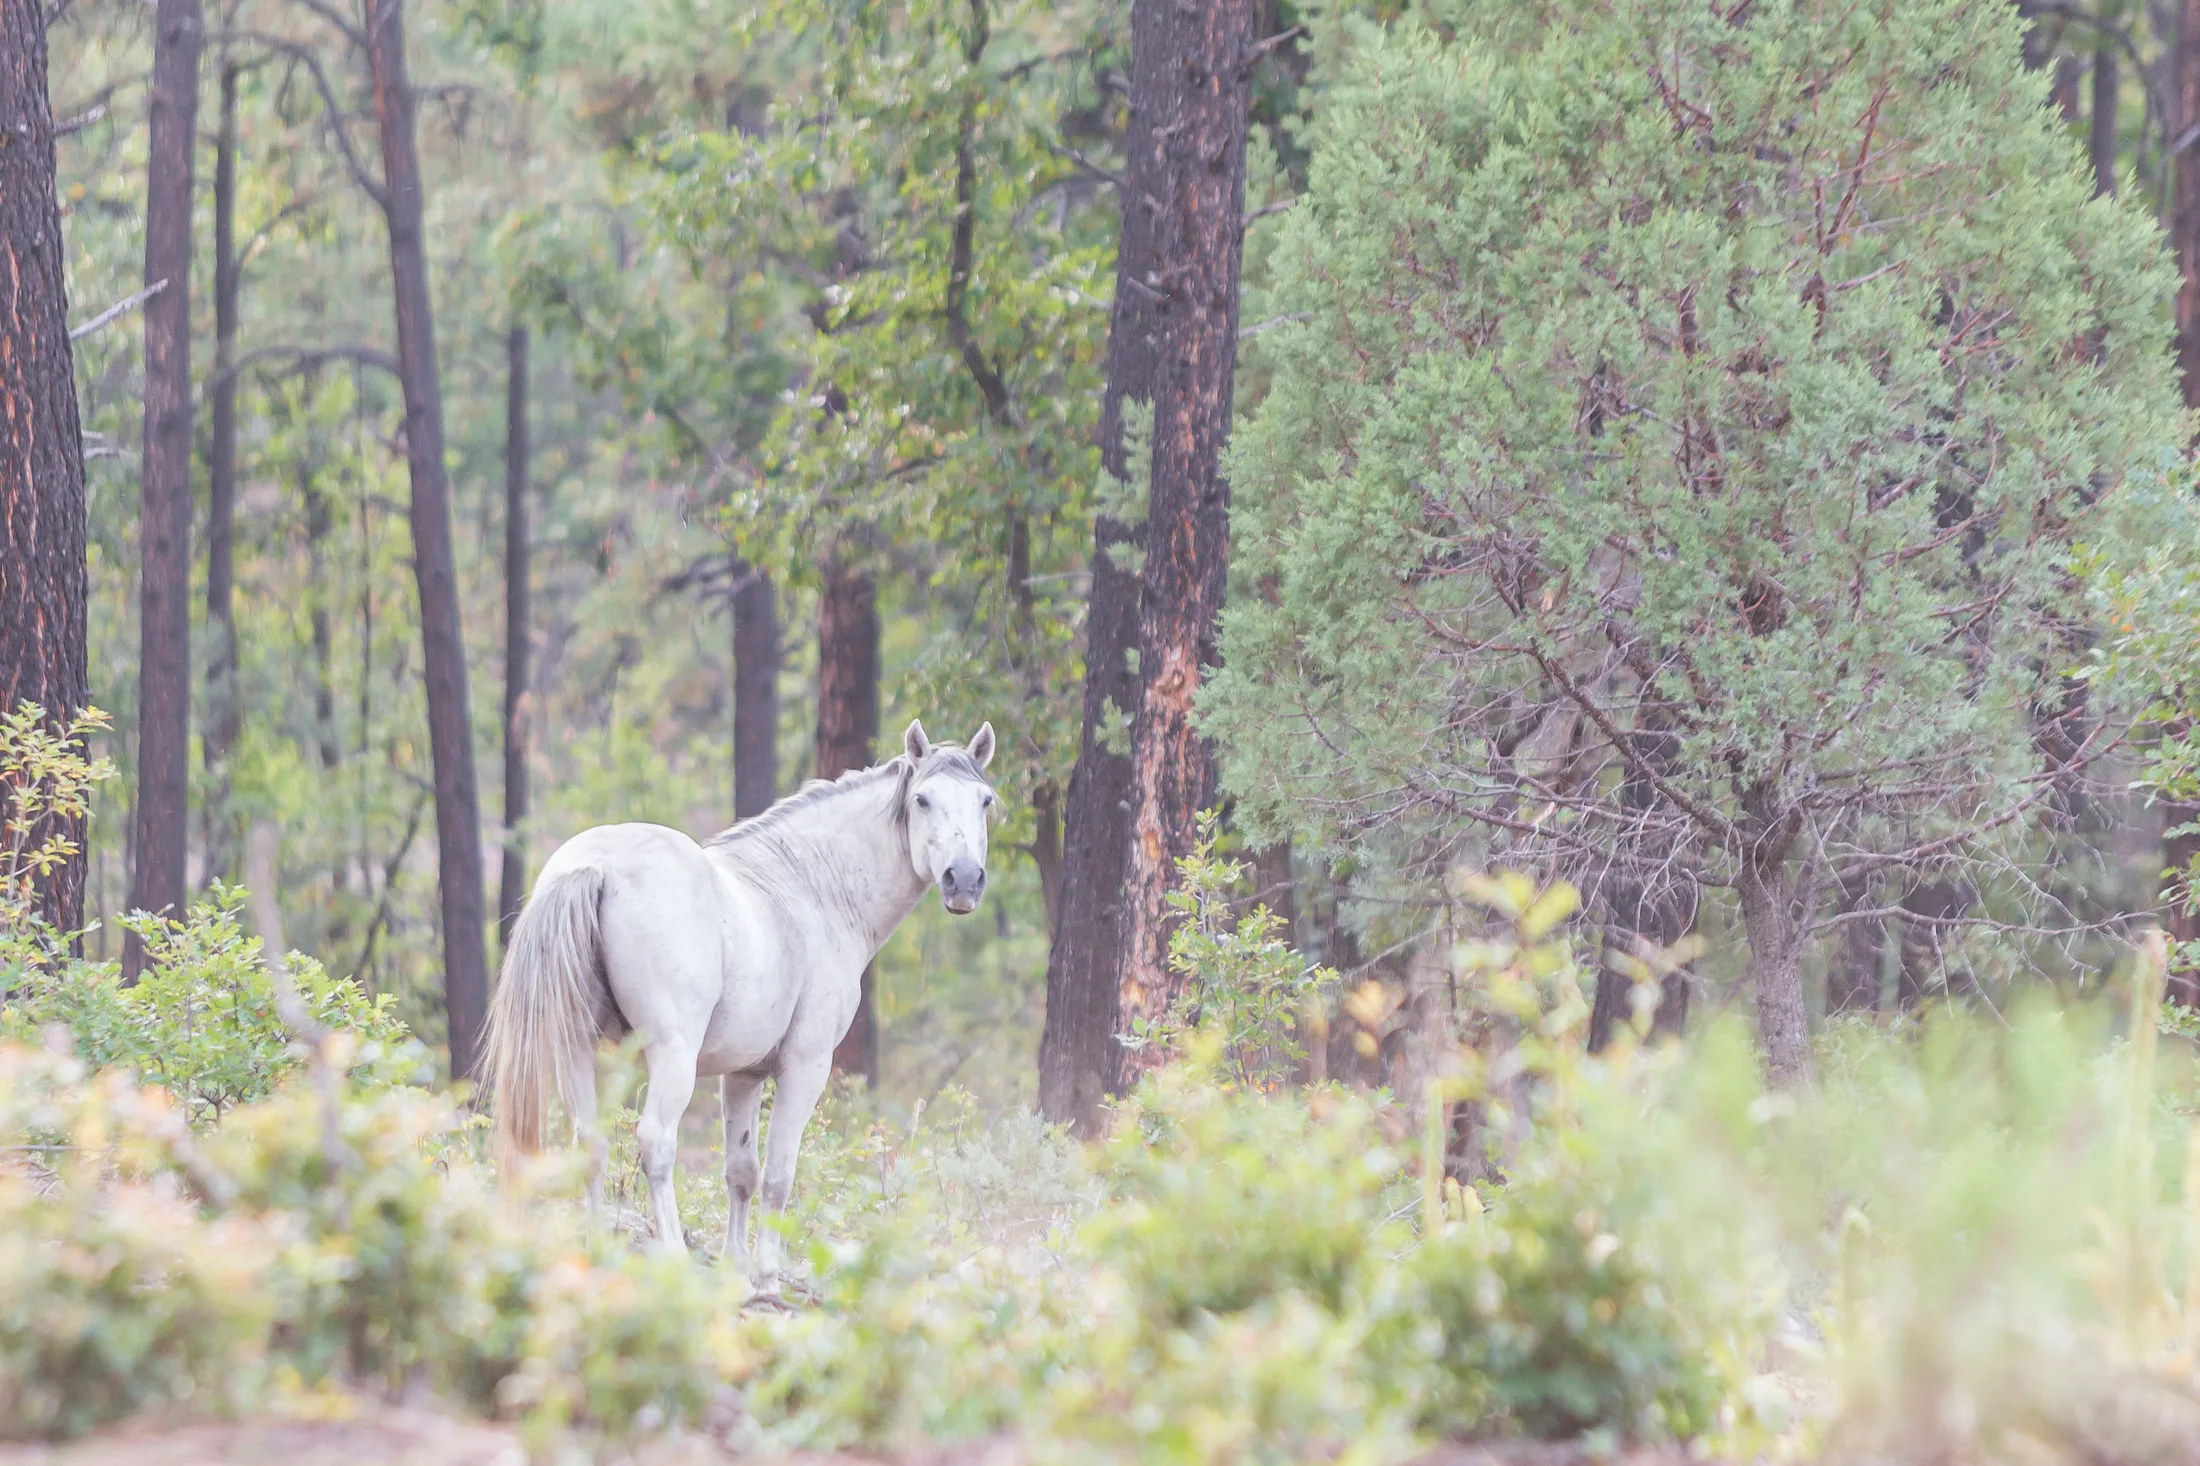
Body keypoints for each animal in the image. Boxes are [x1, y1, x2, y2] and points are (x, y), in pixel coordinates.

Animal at [486, 718, 997, 1277]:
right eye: (922, 800)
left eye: (985, 801)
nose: (963, 880)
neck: (811, 889)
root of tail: (596, 867)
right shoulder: (805, 1067)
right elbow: (778, 1174)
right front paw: (769, 1270)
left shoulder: (743, 1075)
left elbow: (741, 1172)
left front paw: (736, 1265)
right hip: (672, 1056)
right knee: (656, 1143)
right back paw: (672, 1255)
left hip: (577, 1049)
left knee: (590, 1142)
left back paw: (596, 1251)